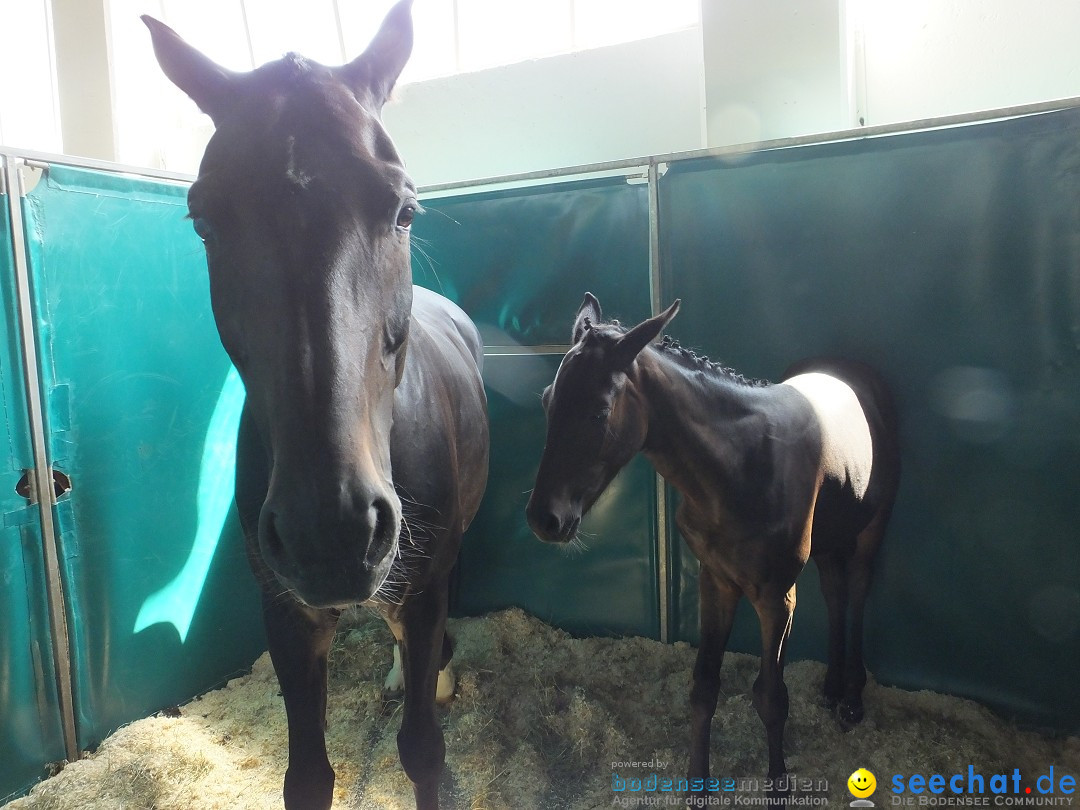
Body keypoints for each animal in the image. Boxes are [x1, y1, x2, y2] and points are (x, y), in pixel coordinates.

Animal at [141, 3, 488, 807]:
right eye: (204, 219)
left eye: (404, 210)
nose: (329, 533)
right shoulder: (288, 614)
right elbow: (307, 776)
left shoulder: (423, 590)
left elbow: (424, 751)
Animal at [527, 293, 898, 807]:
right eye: (548, 400)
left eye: (599, 412)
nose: (544, 519)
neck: (738, 468)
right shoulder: (715, 580)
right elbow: (704, 687)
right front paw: (697, 788)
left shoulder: (776, 597)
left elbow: (771, 698)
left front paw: (778, 789)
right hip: (829, 532)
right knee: (835, 591)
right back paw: (829, 687)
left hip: (871, 527)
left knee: (858, 589)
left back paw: (852, 699)